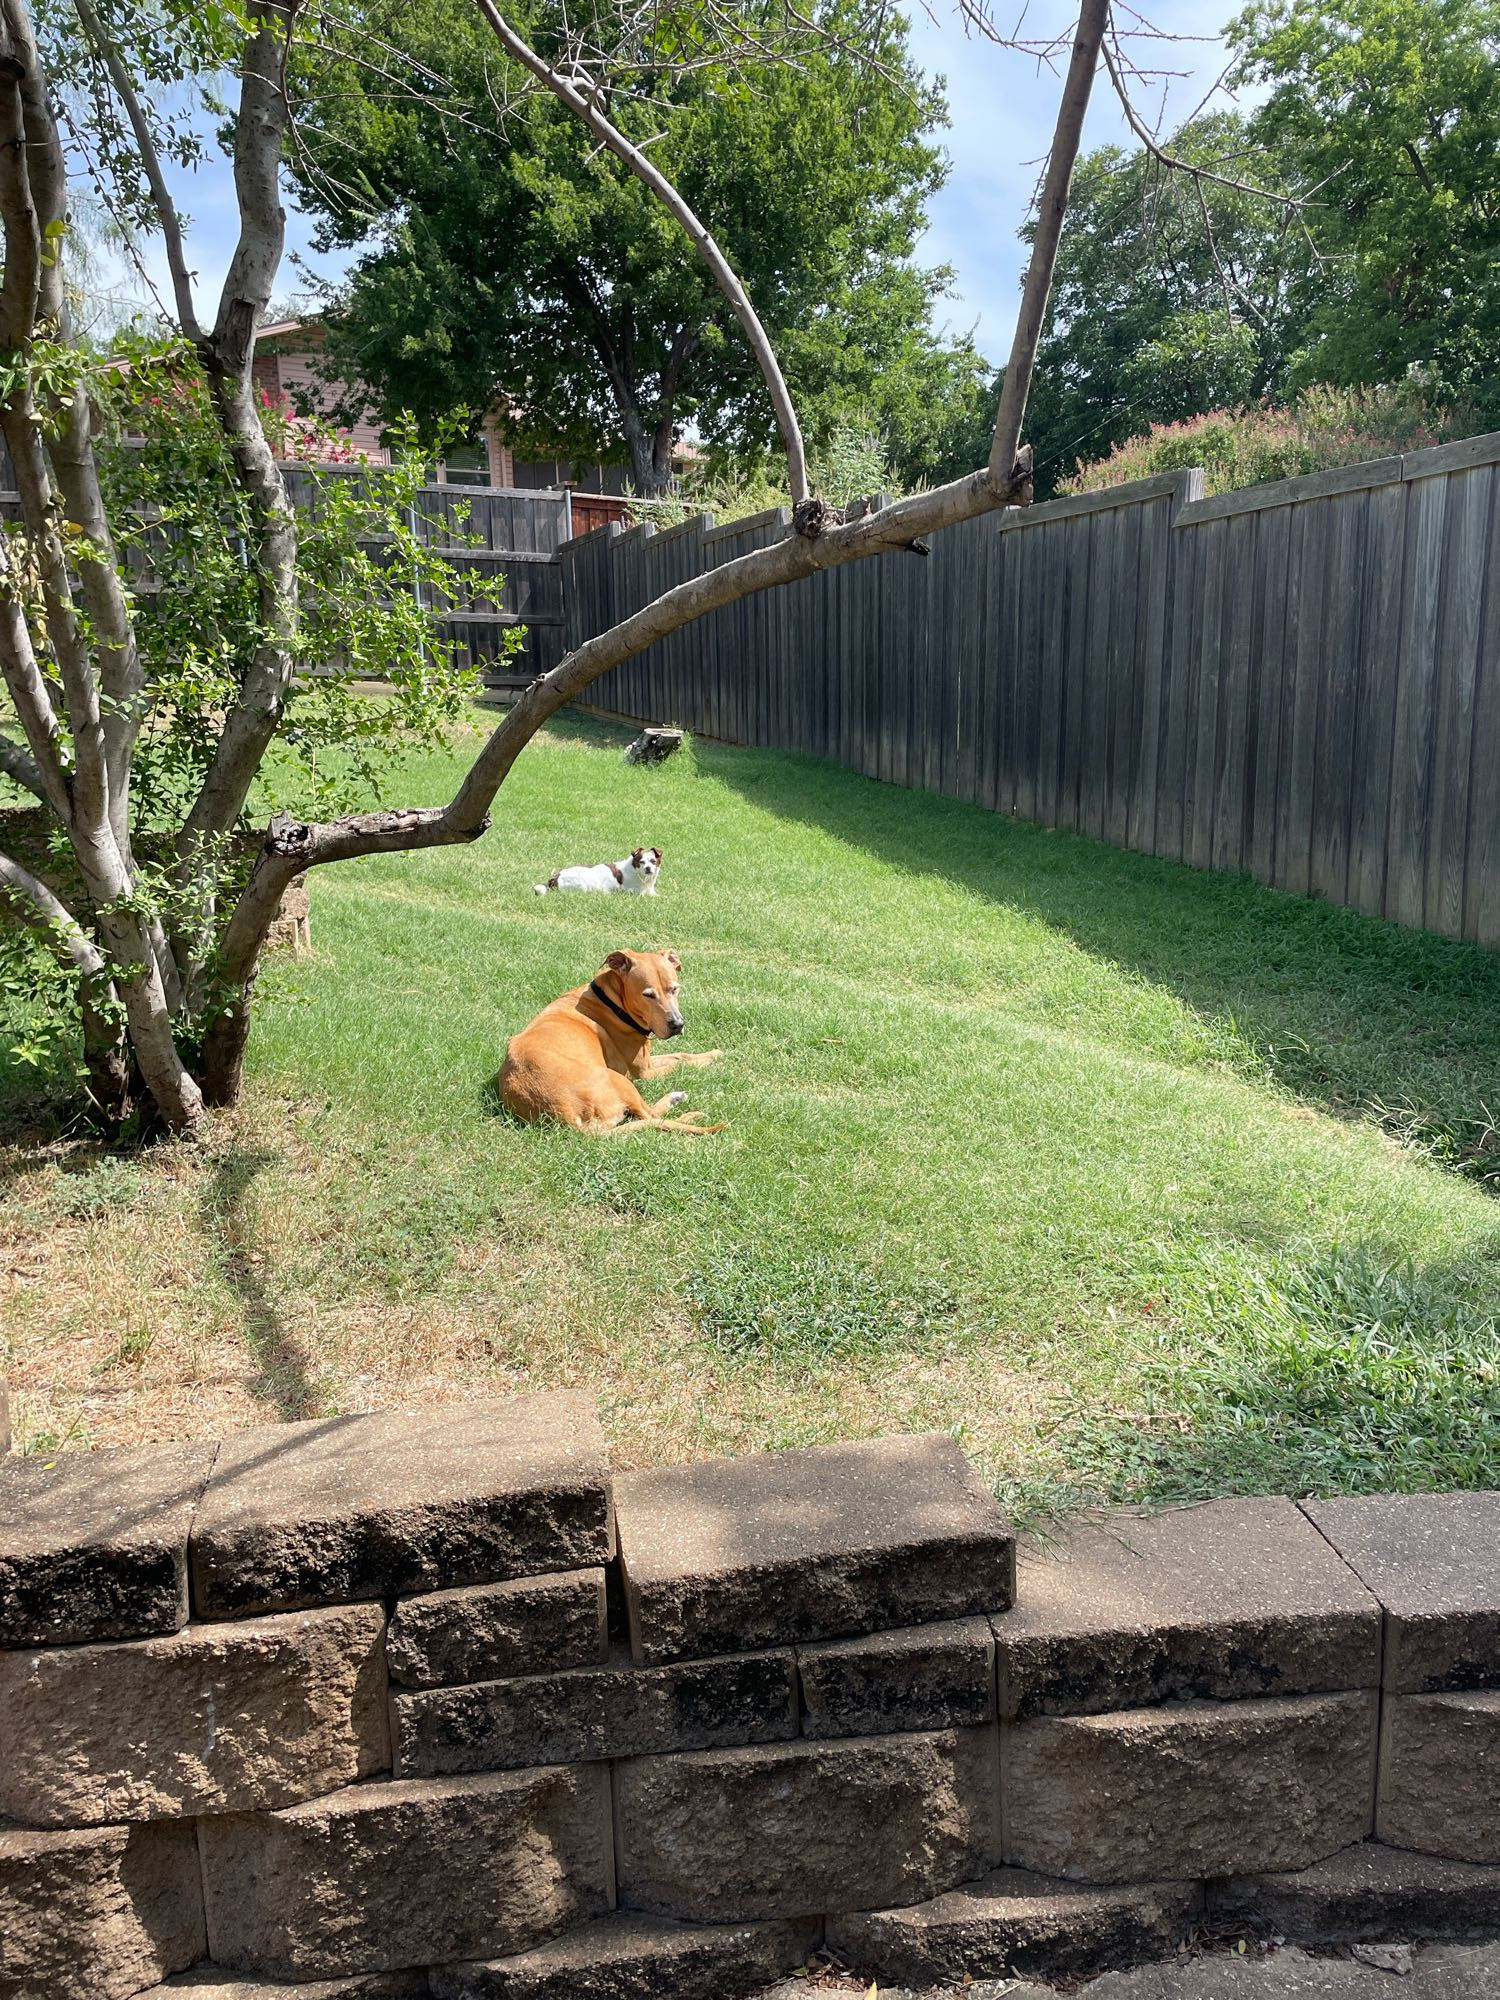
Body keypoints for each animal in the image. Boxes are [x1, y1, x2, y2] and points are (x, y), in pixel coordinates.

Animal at [536, 848, 664, 896]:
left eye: (653, 861)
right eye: (641, 862)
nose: (648, 868)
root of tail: (555, 877)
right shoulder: (637, 892)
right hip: (582, 886)